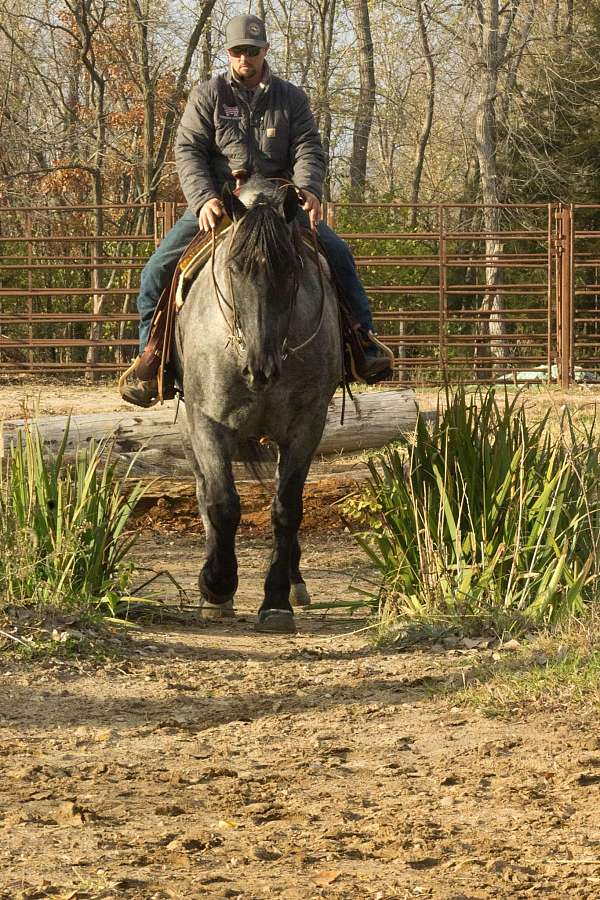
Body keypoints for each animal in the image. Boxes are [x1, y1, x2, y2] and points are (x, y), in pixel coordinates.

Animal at [175, 176, 342, 632]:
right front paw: (216, 585)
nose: (260, 368)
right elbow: (221, 503)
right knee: (204, 493)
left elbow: (286, 509)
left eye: (291, 269)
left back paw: (295, 582)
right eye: (234, 267)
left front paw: (277, 601)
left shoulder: (306, 428)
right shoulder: (207, 423)